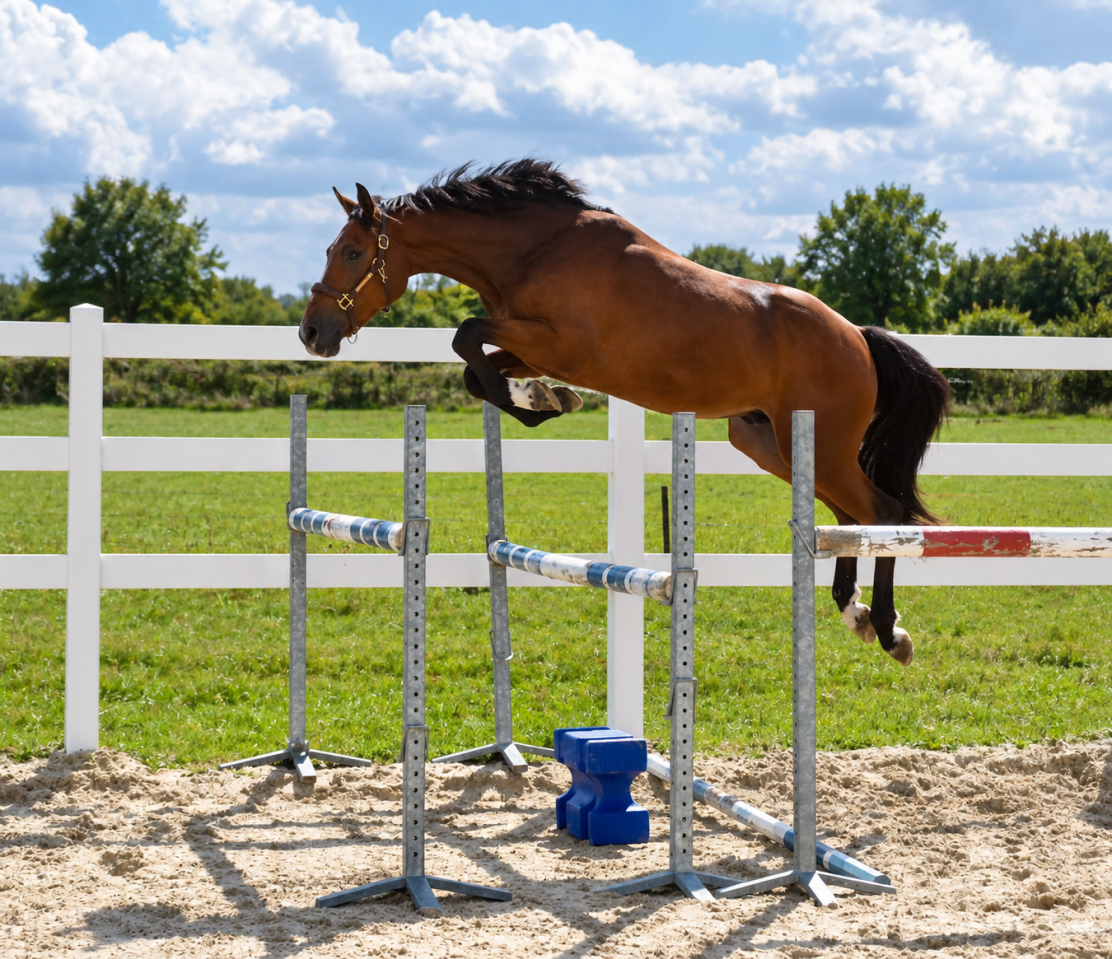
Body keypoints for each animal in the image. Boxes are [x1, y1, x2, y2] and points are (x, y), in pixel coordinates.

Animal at [299, 159, 950, 666]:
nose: (311, 333)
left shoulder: (562, 346)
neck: (534, 250)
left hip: (818, 445)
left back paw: (887, 629)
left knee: (882, 511)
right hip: (773, 444)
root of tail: (858, 338)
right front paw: (541, 399)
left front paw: (543, 402)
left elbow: (466, 337)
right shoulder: (530, 345)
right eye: (328, 249)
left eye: (352, 251)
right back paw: (855, 612)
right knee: (848, 517)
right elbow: (474, 366)